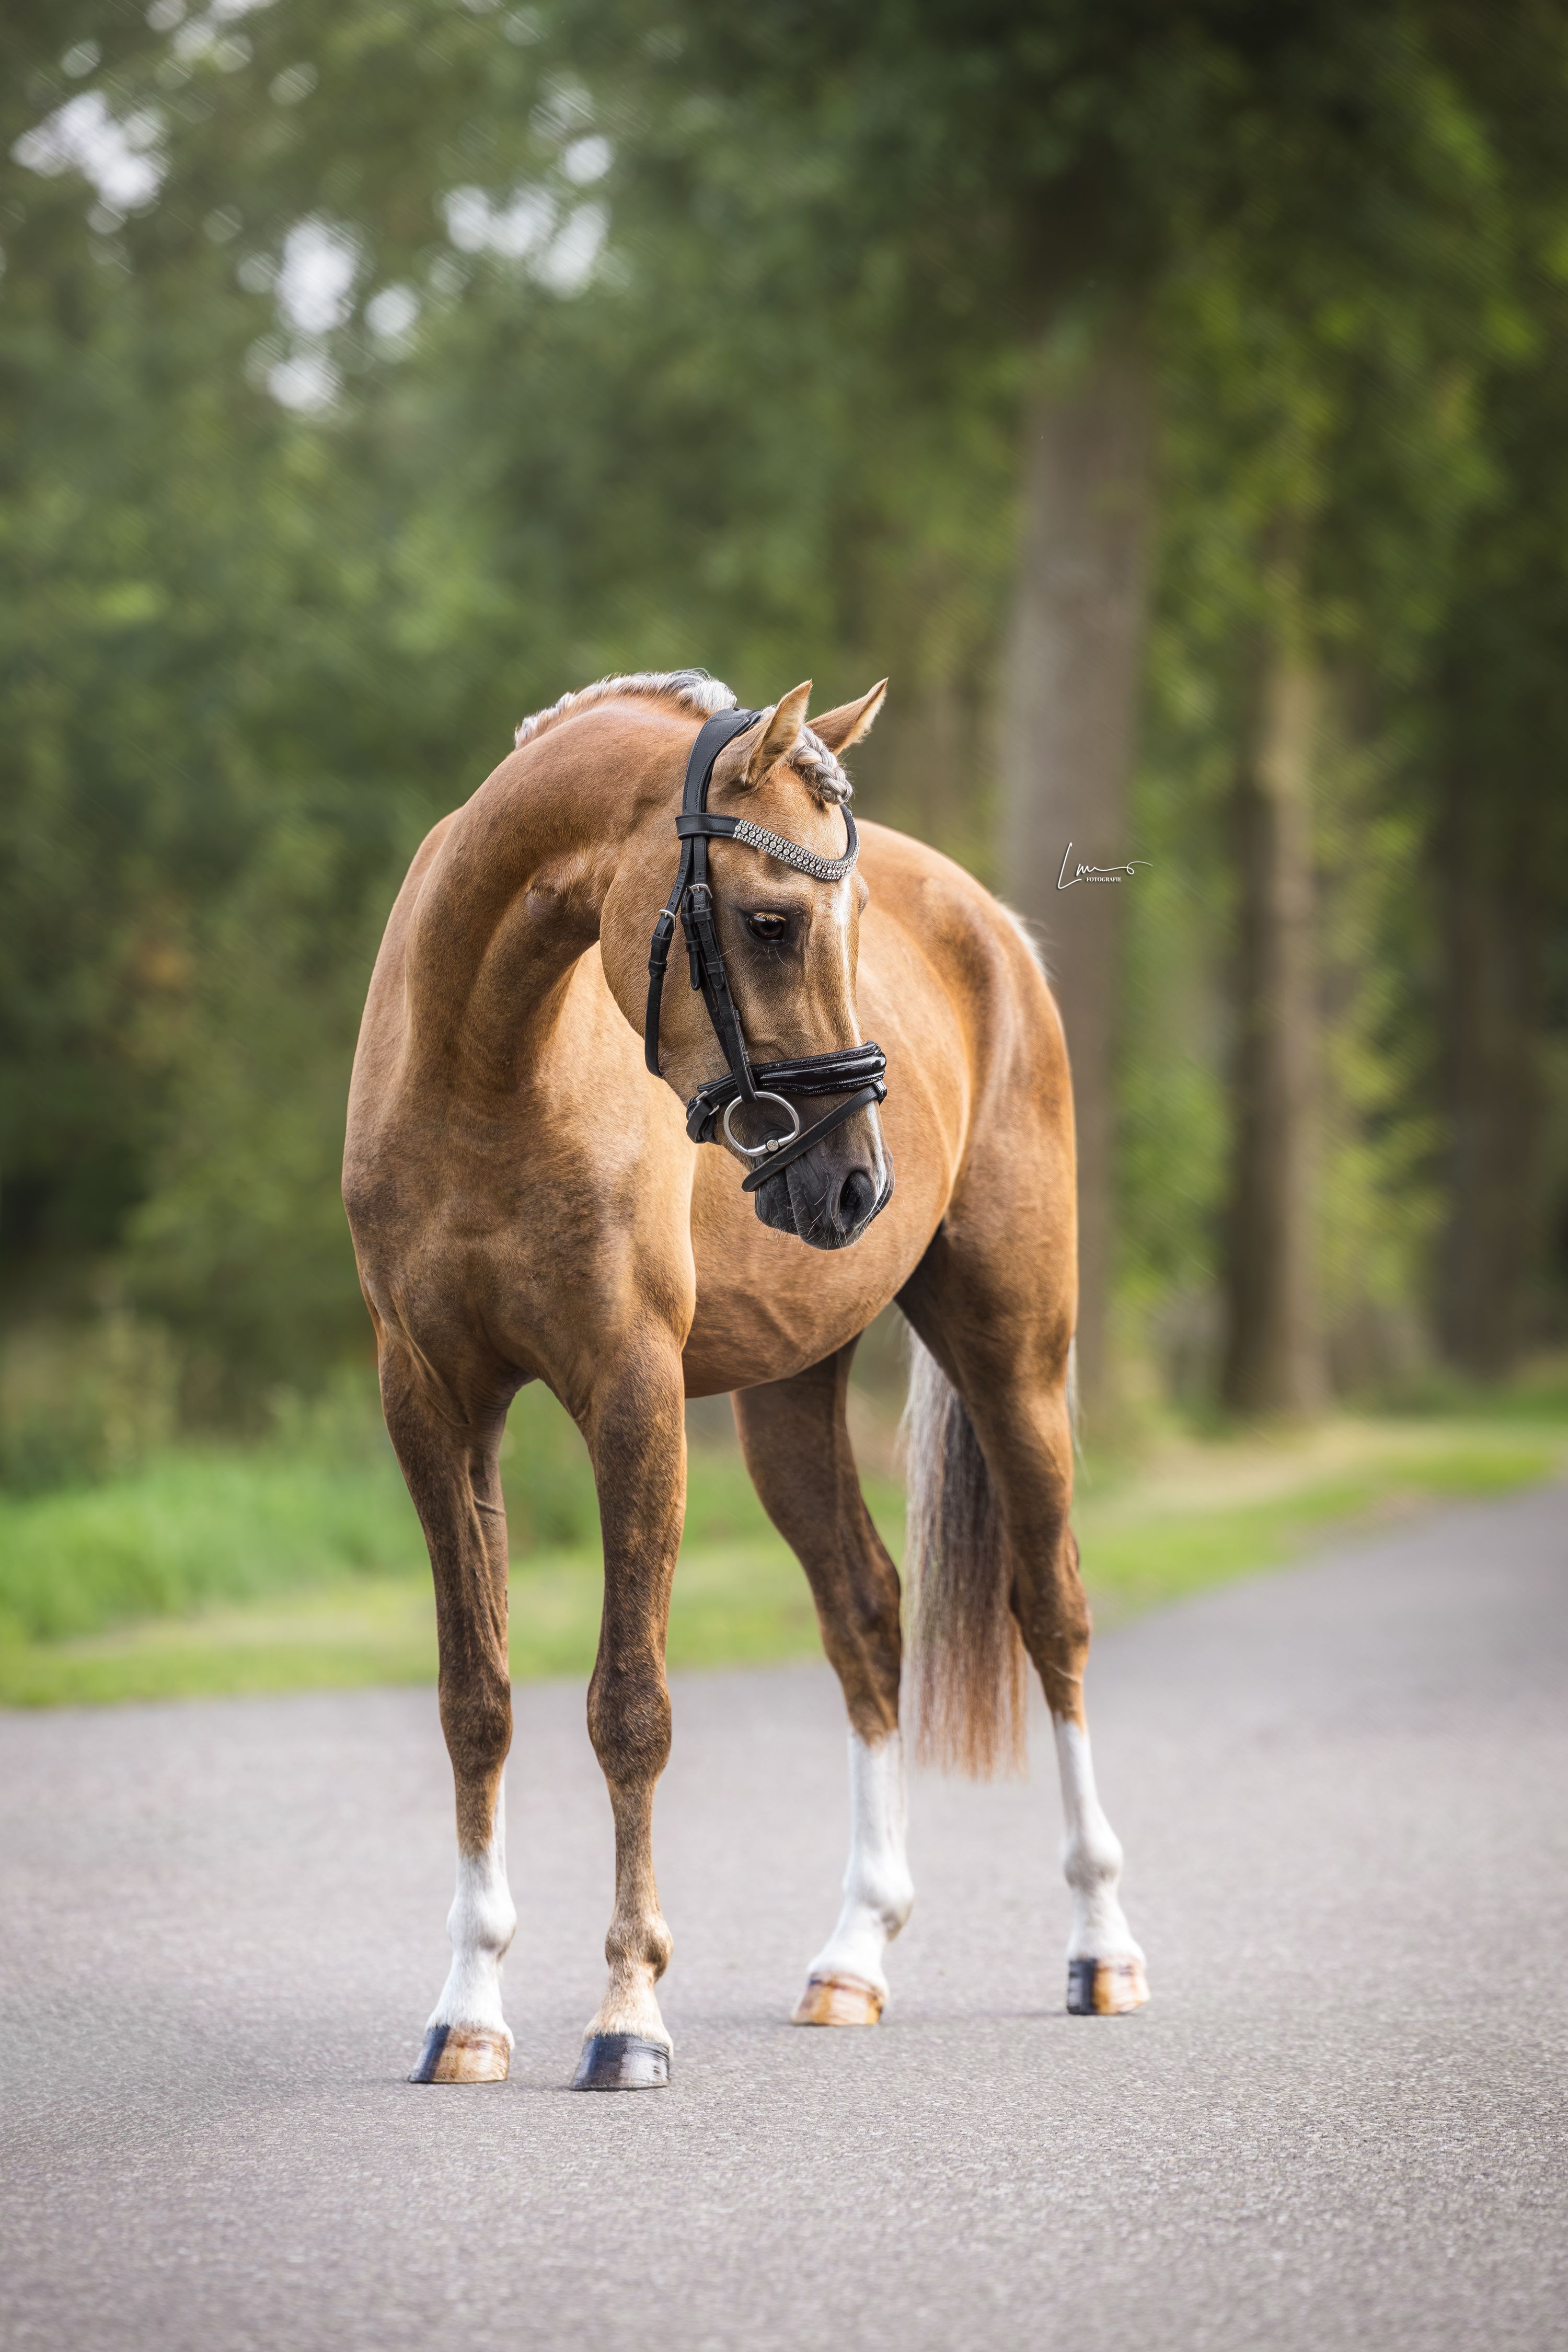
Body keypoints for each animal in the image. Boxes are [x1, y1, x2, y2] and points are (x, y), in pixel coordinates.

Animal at [342, 668, 1147, 2090]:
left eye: (854, 921)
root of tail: (994, 928)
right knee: (867, 1616)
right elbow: (475, 1699)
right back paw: (852, 1961)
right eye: (771, 922)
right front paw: (468, 2013)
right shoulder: (432, 1402)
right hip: (791, 1396)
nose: (857, 1182)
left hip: (1015, 1352)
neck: (492, 1067)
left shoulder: (630, 1393)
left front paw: (625, 2017)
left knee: (1052, 1610)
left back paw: (1100, 1950)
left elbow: (629, 1705)